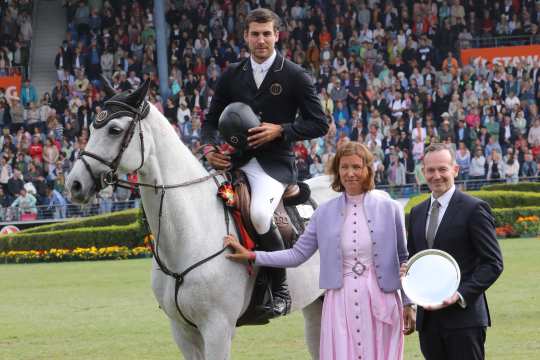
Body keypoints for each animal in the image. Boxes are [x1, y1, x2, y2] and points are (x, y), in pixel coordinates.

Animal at [66, 82, 338, 360]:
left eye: (115, 130)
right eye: (90, 129)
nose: (74, 184)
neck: (190, 232)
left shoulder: (217, 329)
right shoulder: (183, 330)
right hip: (315, 303)